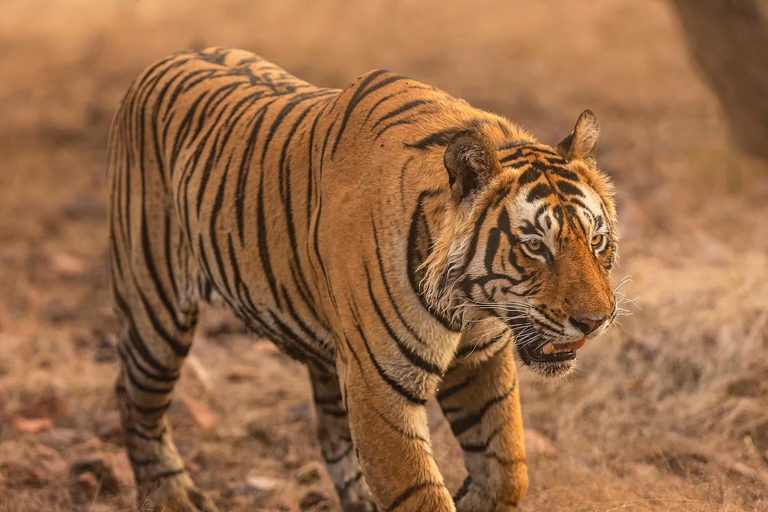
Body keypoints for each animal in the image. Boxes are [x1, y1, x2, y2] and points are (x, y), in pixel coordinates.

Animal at [107, 46, 618, 512]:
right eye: (535, 247)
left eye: (596, 241)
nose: (596, 321)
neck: (468, 305)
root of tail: (165, 59)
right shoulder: (379, 386)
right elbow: (419, 494)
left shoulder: (482, 358)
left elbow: (508, 471)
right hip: (155, 314)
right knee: (134, 402)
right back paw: (171, 496)